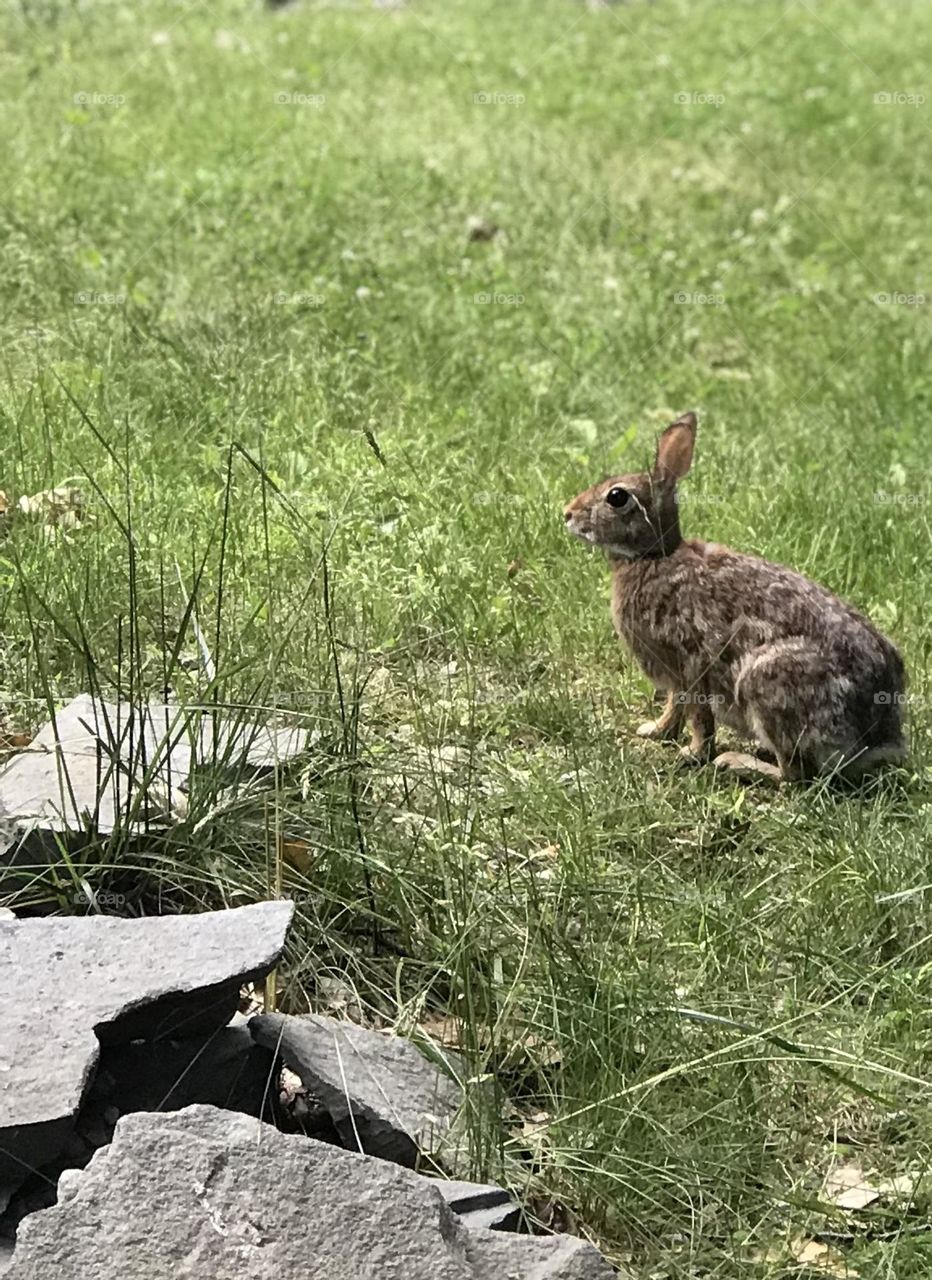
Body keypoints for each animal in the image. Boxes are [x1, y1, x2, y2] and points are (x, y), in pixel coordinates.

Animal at [563, 414, 906, 783]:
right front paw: (655, 731)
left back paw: (735, 761)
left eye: (616, 496)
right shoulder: (676, 677)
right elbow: (674, 706)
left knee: (794, 773)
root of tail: (877, 738)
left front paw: (692, 753)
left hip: (769, 685)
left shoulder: (691, 662)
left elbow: (698, 715)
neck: (653, 555)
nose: (567, 513)